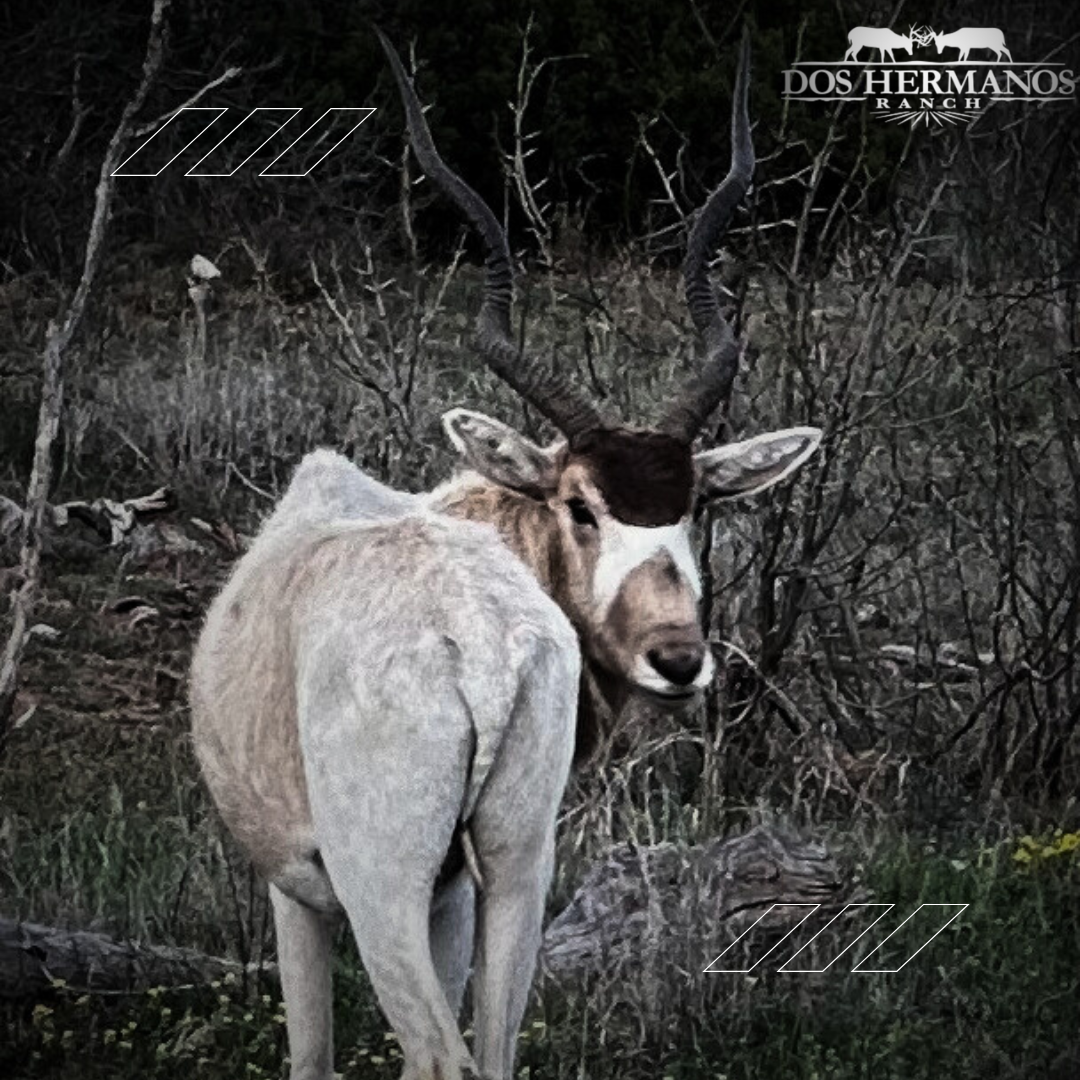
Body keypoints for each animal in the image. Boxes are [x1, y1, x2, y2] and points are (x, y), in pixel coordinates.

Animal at [192, 27, 825, 1080]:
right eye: (580, 504)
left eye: (693, 505)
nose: (678, 659)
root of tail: (475, 642)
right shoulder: (464, 885)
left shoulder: (299, 888)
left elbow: (313, 1052)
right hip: (519, 862)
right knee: (490, 1047)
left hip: (382, 885)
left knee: (442, 1053)